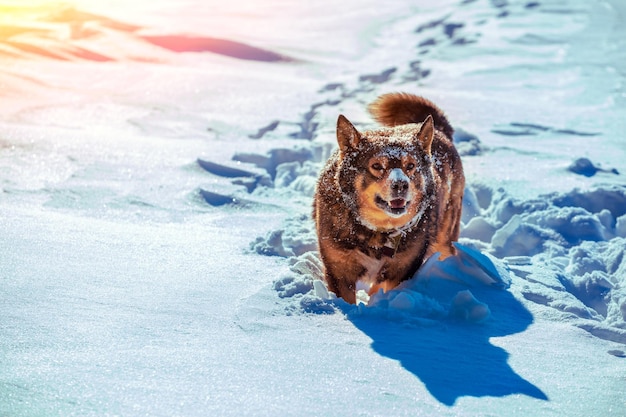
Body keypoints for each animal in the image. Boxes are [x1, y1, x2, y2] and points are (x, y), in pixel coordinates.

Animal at [312, 92, 464, 304]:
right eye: (376, 166)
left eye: (410, 166)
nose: (400, 184)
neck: (378, 230)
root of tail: (440, 132)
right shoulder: (339, 272)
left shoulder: (402, 270)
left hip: (444, 235)